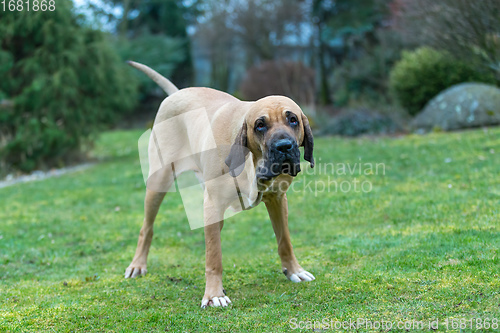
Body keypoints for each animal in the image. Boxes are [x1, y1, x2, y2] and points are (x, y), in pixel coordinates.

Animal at [123, 61, 314, 308]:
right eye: (260, 125)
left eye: (293, 120)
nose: (284, 146)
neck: (251, 162)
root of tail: (176, 93)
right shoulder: (212, 205)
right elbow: (214, 256)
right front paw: (214, 294)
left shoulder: (277, 199)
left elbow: (285, 240)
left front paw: (293, 270)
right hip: (159, 182)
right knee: (146, 228)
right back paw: (138, 264)